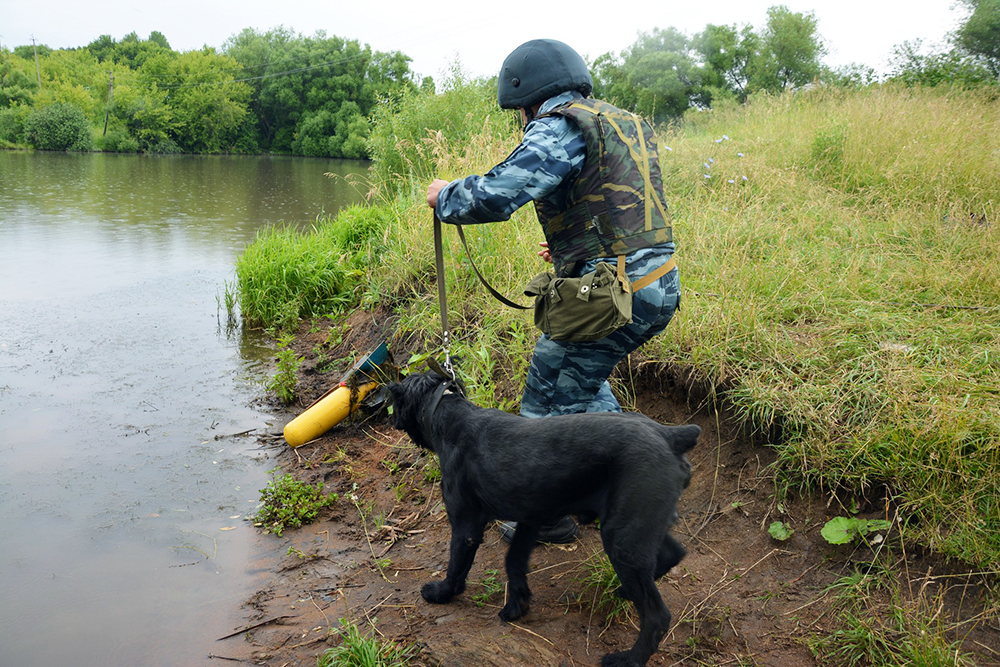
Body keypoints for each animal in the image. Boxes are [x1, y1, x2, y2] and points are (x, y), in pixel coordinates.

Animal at [386, 374, 700, 664]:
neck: (450, 416)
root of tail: (670, 436)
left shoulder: (466, 527)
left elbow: (456, 567)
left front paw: (442, 593)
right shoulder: (530, 519)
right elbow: (514, 561)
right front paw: (517, 604)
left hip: (622, 538)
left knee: (657, 615)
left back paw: (629, 659)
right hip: (636, 524)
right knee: (673, 553)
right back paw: (624, 591)